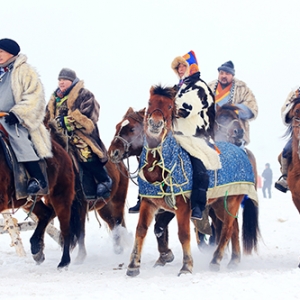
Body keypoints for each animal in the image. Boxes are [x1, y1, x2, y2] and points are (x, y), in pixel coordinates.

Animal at [110, 85, 260, 274]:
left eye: (131, 129)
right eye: (150, 103)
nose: (114, 152)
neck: (160, 166)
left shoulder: (182, 206)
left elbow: (182, 234)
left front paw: (186, 266)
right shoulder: (150, 203)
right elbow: (143, 230)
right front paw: (134, 265)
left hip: (230, 200)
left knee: (226, 228)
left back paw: (216, 260)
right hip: (219, 204)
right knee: (233, 227)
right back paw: (233, 260)